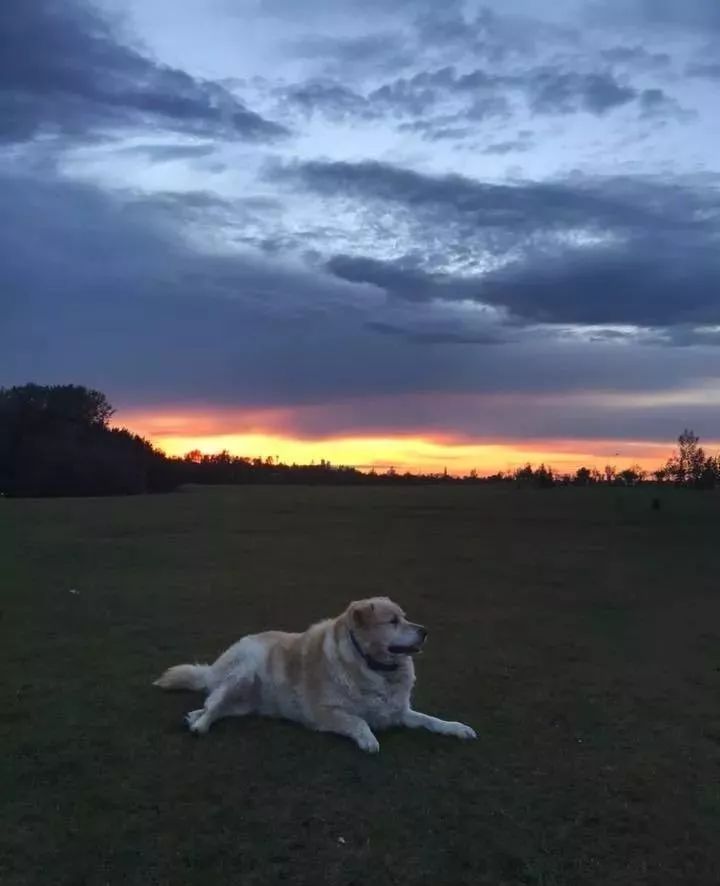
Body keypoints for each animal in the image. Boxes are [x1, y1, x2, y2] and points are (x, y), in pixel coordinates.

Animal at [153, 596, 478, 756]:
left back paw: (193, 717)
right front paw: (368, 740)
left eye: (405, 617)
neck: (371, 665)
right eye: (393, 621)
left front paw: (457, 728)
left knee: (213, 705)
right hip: (243, 674)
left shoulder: (398, 712)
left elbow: (431, 720)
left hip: (245, 703)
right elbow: (358, 721)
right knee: (213, 705)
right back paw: (199, 725)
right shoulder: (326, 713)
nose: (425, 631)